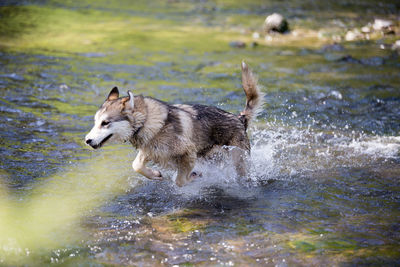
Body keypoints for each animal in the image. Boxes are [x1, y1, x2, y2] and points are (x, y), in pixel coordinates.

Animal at [86, 62, 264, 188]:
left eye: (105, 123)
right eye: (95, 122)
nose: (87, 140)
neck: (147, 122)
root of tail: (240, 119)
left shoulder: (188, 152)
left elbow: (179, 180)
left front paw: (194, 177)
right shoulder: (151, 151)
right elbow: (136, 165)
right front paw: (155, 174)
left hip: (238, 161)